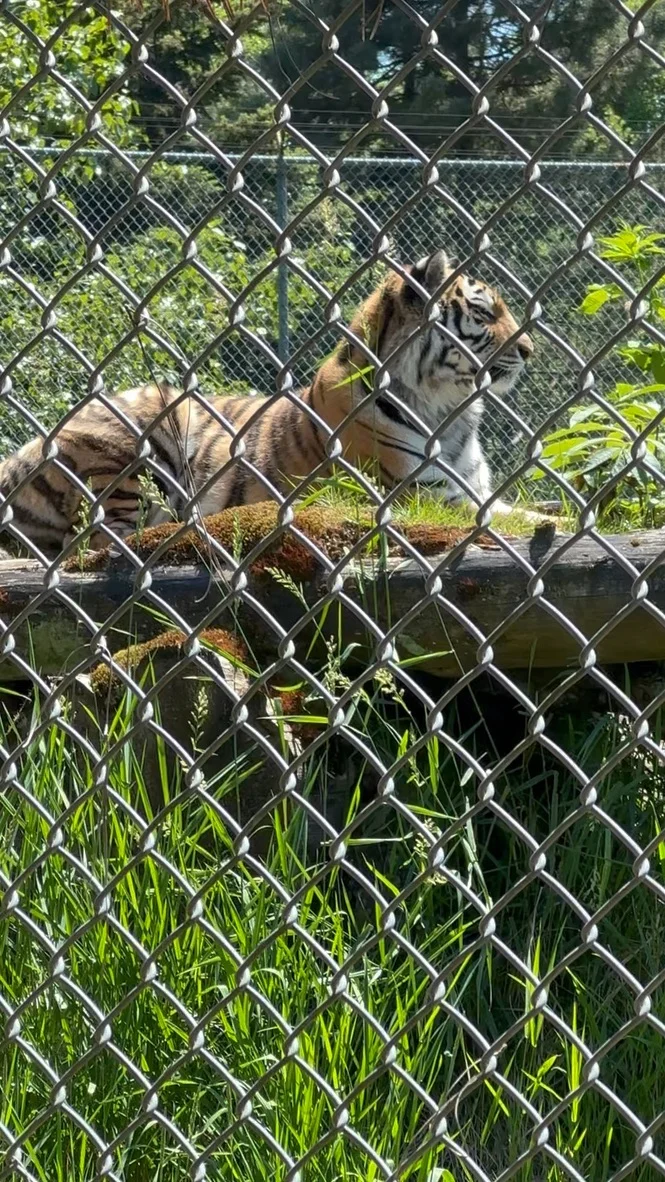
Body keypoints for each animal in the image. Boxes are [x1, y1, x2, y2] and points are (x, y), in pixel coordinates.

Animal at [0, 249, 535, 557]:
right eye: (485, 314)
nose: (531, 351)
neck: (450, 410)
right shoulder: (424, 495)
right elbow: (521, 518)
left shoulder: (469, 488)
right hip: (133, 447)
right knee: (92, 543)